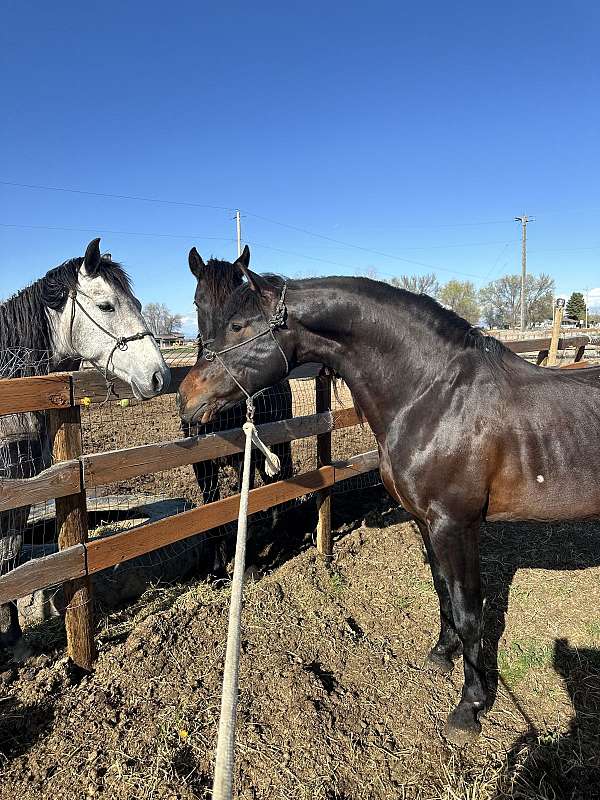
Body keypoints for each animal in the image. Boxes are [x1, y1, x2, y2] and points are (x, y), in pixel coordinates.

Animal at [183, 248, 293, 566]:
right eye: (197, 302)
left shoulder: (246, 455)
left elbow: (246, 499)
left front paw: (249, 558)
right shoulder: (202, 463)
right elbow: (212, 509)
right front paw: (218, 566)